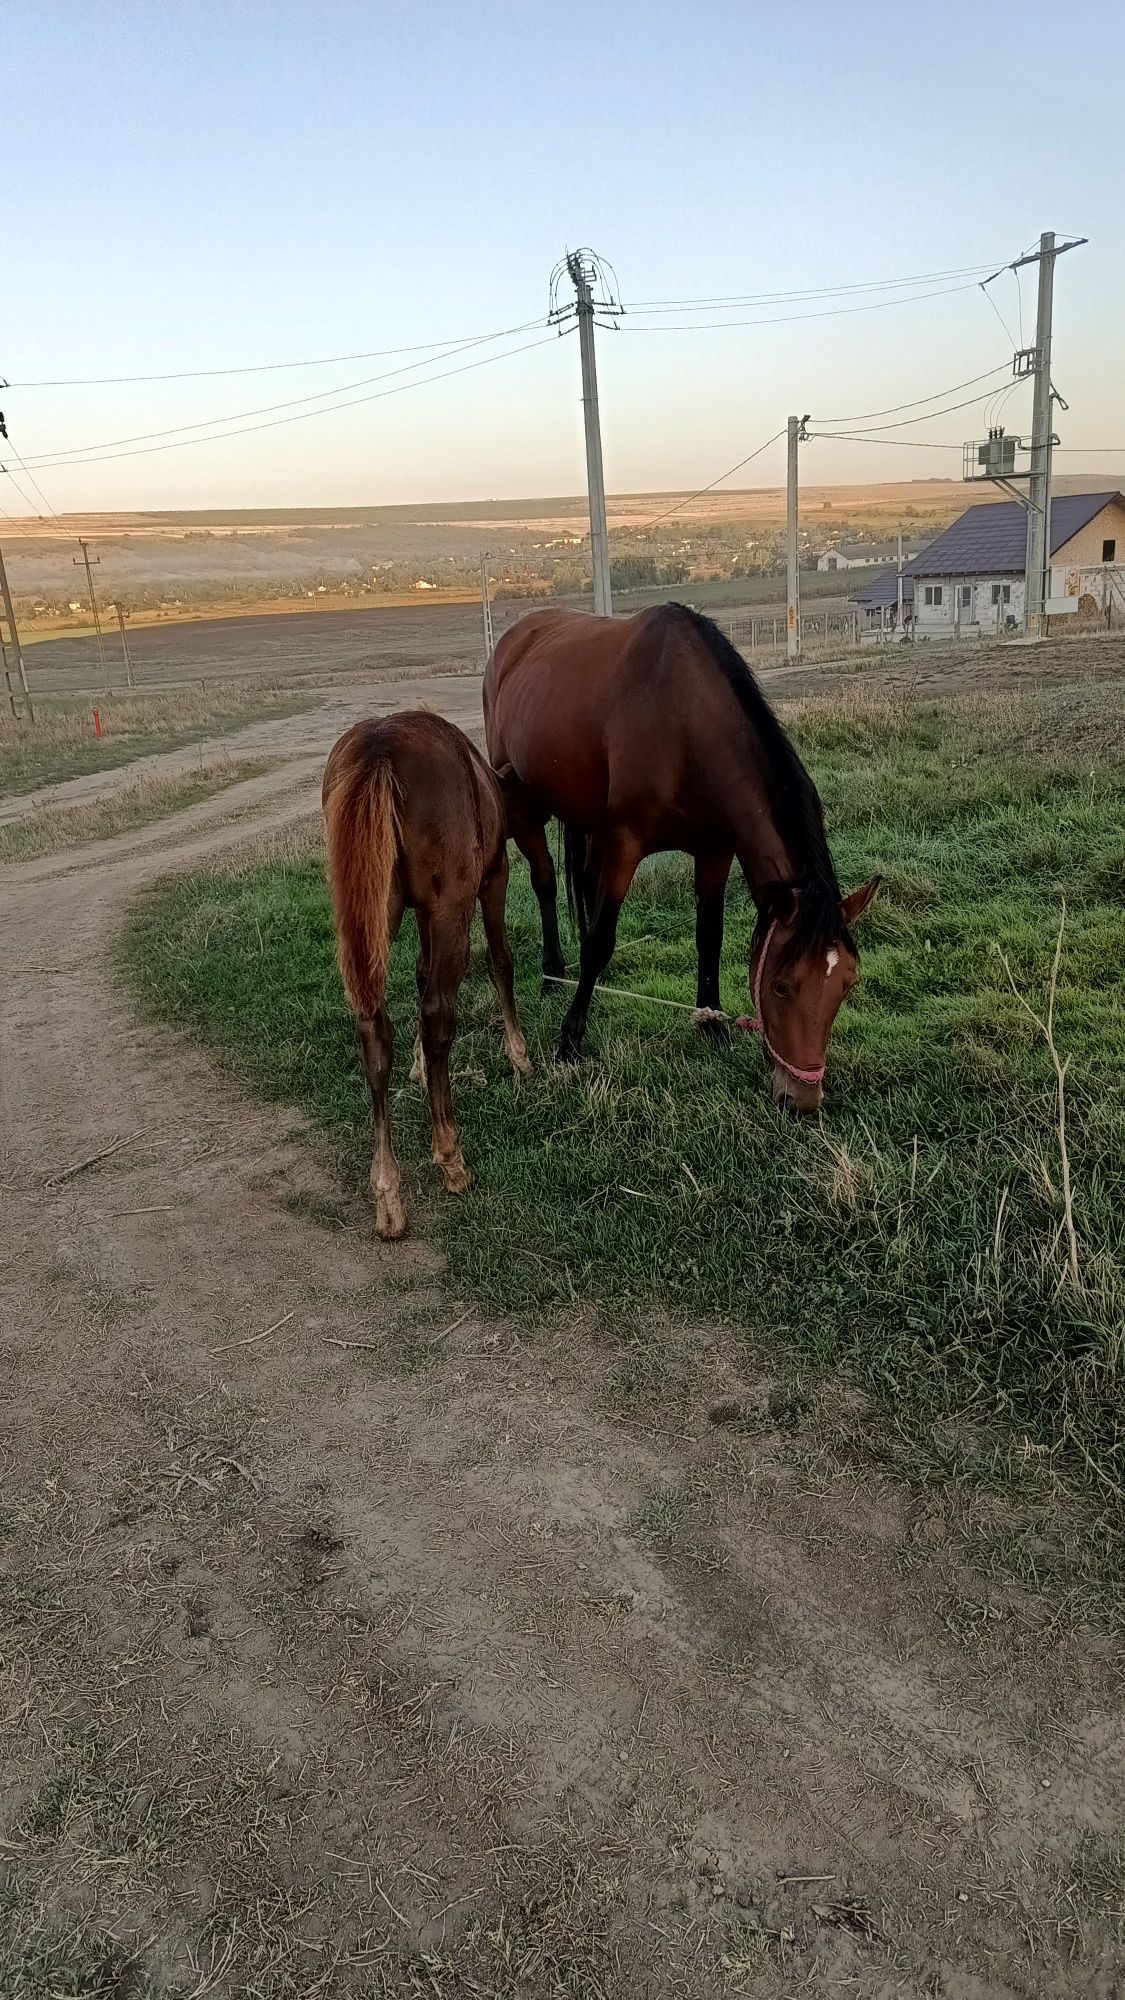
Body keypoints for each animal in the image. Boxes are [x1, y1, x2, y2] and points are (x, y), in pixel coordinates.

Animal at [320, 704, 528, 1232]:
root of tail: (380, 751)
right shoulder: (489, 883)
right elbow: (500, 961)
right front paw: (519, 1054)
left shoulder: (420, 913)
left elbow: (417, 973)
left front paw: (414, 1065)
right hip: (454, 908)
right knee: (438, 1015)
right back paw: (451, 1158)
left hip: (374, 915)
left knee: (374, 1029)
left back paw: (387, 1192)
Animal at [482, 600, 876, 1120]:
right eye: (781, 986)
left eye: (846, 985)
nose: (802, 1100)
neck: (682, 721)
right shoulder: (625, 844)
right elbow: (601, 939)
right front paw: (569, 1040)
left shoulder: (714, 851)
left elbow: (708, 936)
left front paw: (710, 1022)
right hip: (526, 808)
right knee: (546, 884)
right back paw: (554, 973)